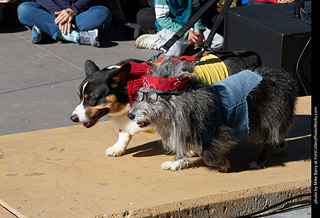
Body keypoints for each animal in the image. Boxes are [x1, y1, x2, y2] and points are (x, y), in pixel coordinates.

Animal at [127, 58, 298, 172]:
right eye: (138, 96)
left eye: (151, 99)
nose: (130, 116)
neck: (180, 106)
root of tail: (286, 81)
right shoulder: (182, 128)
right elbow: (182, 148)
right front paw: (177, 162)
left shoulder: (219, 133)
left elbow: (208, 156)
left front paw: (222, 164)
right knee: (277, 137)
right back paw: (281, 146)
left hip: (268, 120)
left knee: (269, 140)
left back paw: (259, 161)